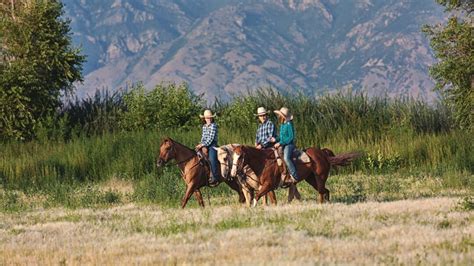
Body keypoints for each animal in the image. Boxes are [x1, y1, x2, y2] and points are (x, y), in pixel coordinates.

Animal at [230, 145, 360, 206]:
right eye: (233, 156)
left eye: (240, 156)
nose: (233, 173)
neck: (265, 162)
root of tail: (323, 153)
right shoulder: (268, 187)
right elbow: (271, 200)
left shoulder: (268, 185)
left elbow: (257, 196)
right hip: (311, 179)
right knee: (325, 191)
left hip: (320, 178)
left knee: (322, 192)